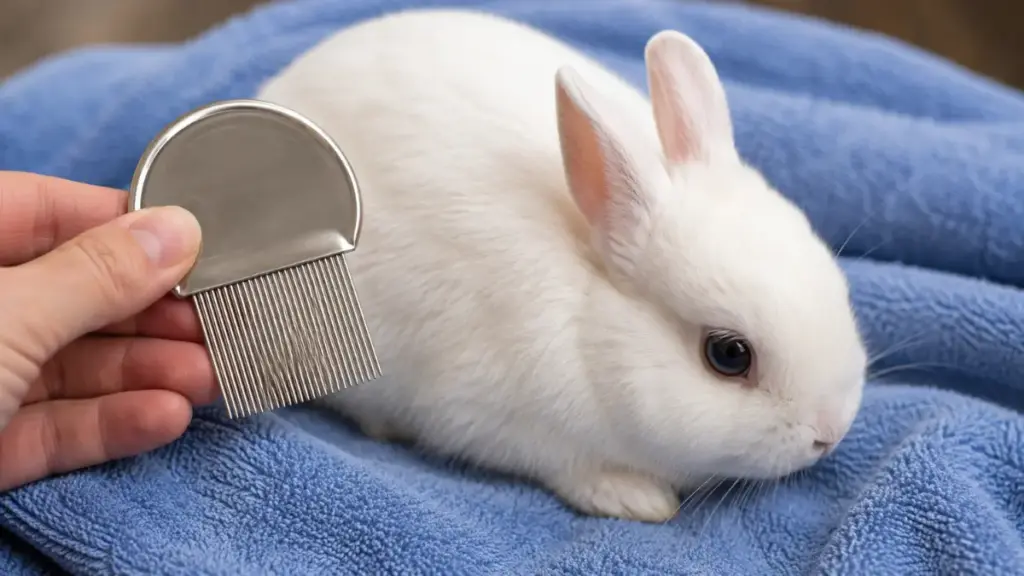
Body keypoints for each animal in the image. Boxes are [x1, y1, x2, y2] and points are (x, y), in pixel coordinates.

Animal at [255, 8, 867, 523]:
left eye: (837, 285)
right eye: (728, 355)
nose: (830, 432)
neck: (590, 324)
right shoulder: (497, 422)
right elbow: (571, 468)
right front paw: (636, 499)